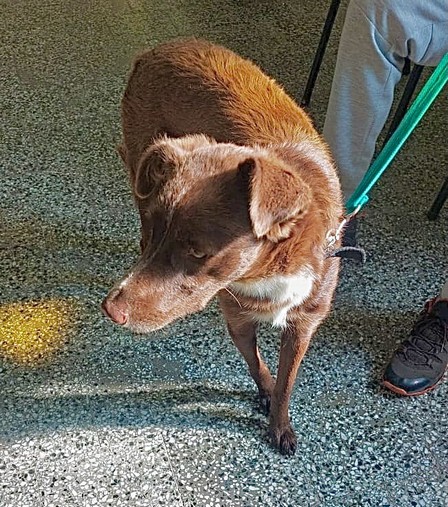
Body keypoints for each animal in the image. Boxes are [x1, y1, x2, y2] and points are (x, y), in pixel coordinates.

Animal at [102, 38, 343, 455]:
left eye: (199, 252)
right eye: (162, 235)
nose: (110, 310)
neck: (274, 267)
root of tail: (156, 50)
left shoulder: (304, 323)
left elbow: (287, 381)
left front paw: (279, 422)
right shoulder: (237, 316)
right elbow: (257, 363)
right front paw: (265, 394)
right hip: (143, 164)